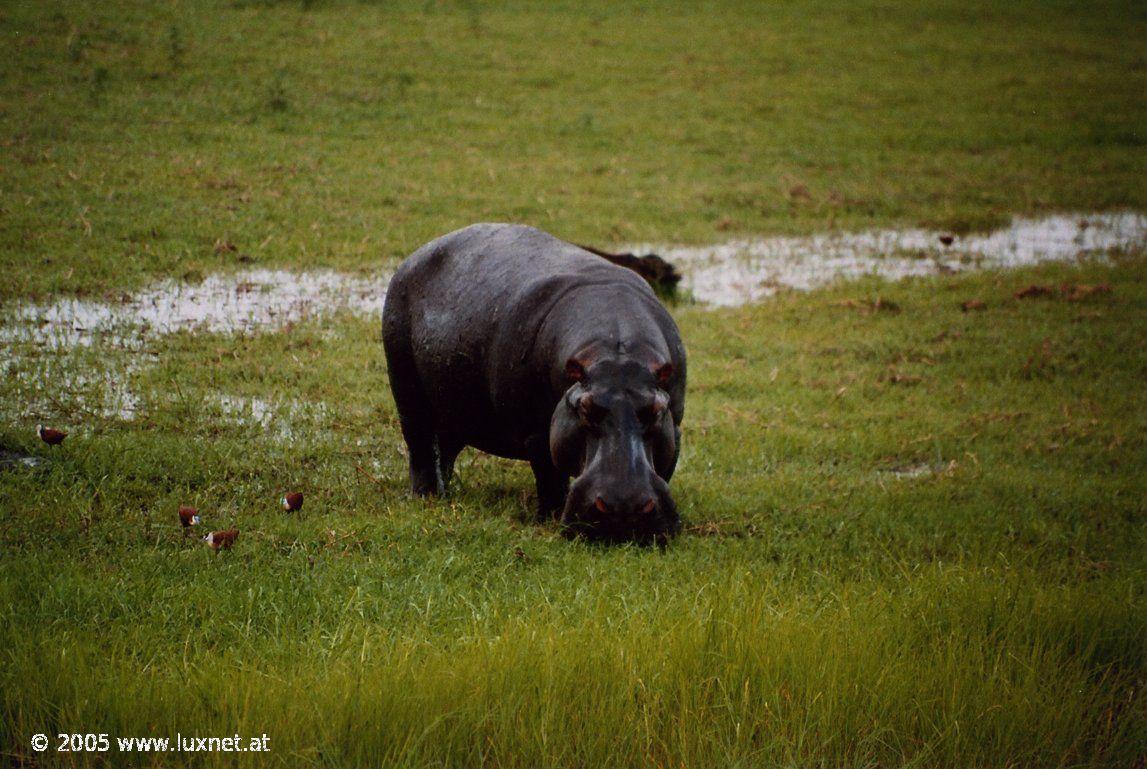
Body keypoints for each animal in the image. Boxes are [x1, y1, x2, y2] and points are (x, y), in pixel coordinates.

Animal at [385, 224, 683, 548]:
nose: (623, 508)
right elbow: (550, 478)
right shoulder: (538, 434)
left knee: (445, 450)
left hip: (454, 409)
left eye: (656, 410)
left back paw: (447, 494)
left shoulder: (675, 426)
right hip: (408, 393)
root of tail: (416, 255)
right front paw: (548, 519)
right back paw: (427, 497)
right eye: (585, 409)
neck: (616, 351)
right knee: (421, 447)